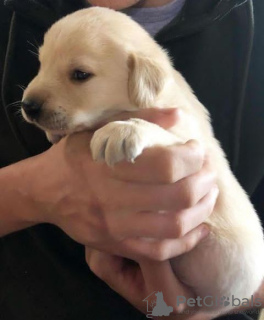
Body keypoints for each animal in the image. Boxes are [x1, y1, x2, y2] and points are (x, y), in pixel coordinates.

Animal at [22, 6, 264, 312]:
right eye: (42, 63)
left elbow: (158, 130)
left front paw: (122, 130)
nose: (27, 106)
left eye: (80, 74)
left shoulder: (191, 142)